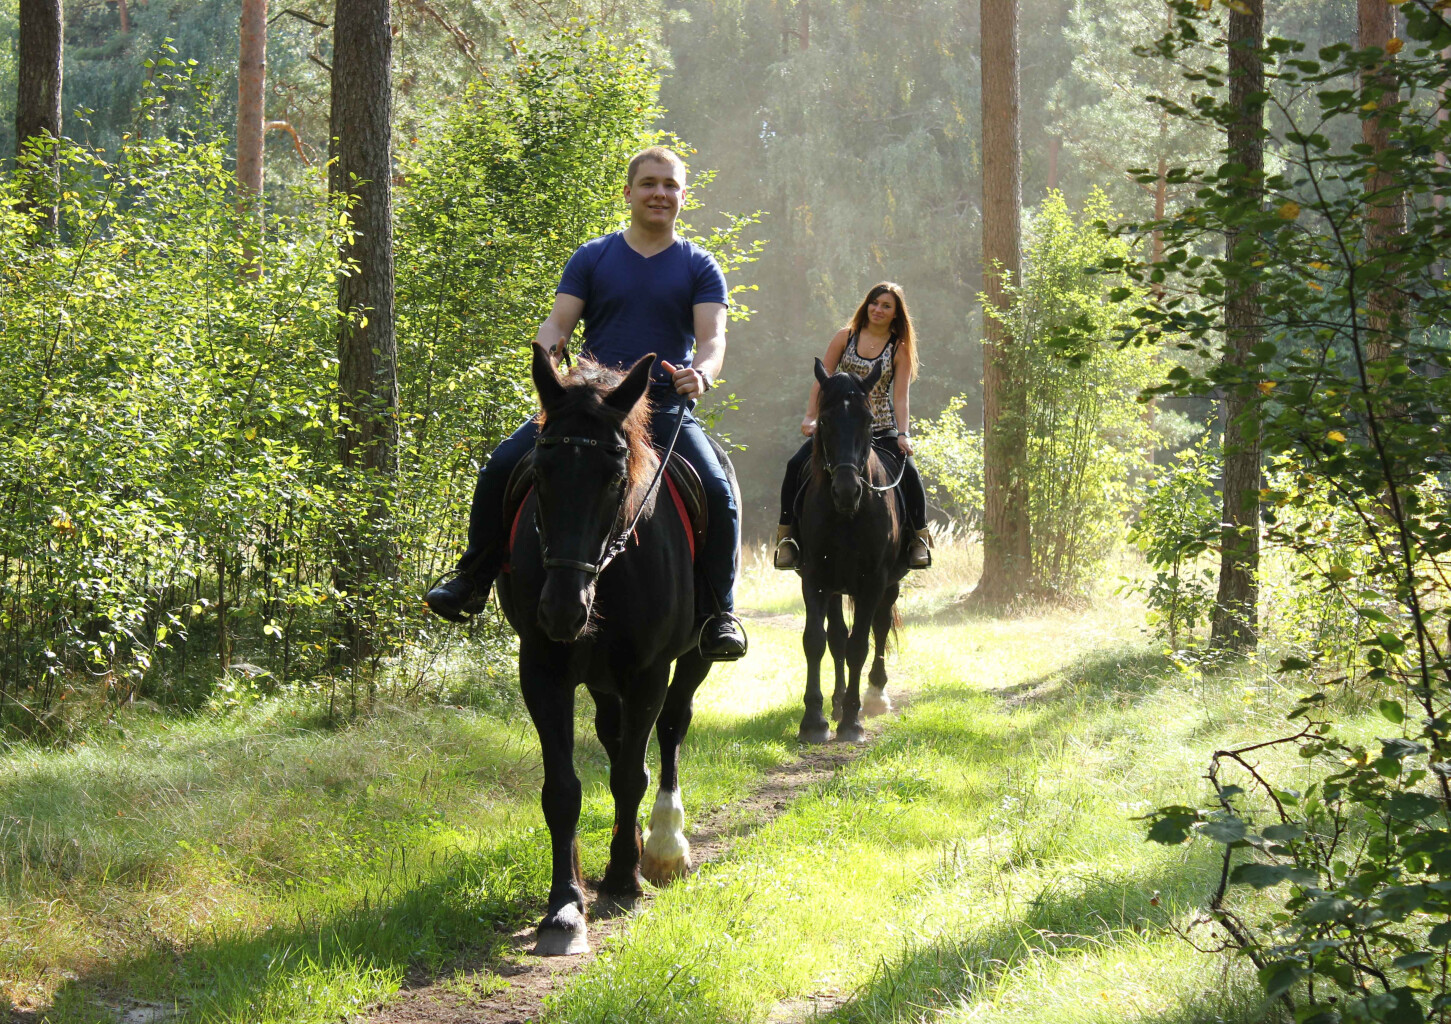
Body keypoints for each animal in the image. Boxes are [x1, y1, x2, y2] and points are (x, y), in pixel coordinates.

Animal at [499, 346, 731, 951]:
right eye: (541, 470)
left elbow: (631, 775)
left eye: (614, 477)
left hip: (692, 660)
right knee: (615, 734)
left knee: (670, 729)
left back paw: (665, 846)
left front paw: (625, 878)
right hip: (602, 680)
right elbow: (563, 790)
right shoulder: (542, 670)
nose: (562, 609)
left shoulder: (649, 671)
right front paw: (563, 908)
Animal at [795, 359, 905, 742]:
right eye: (825, 420)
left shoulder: (872, 582)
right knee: (837, 638)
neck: (846, 516)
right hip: (836, 587)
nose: (846, 491)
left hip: (889, 585)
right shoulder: (815, 579)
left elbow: (860, 644)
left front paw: (852, 723)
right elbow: (816, 641)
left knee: (880, 627)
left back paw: (874, 696)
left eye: (868, 420)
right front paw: (814, 720)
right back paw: (838, 701)